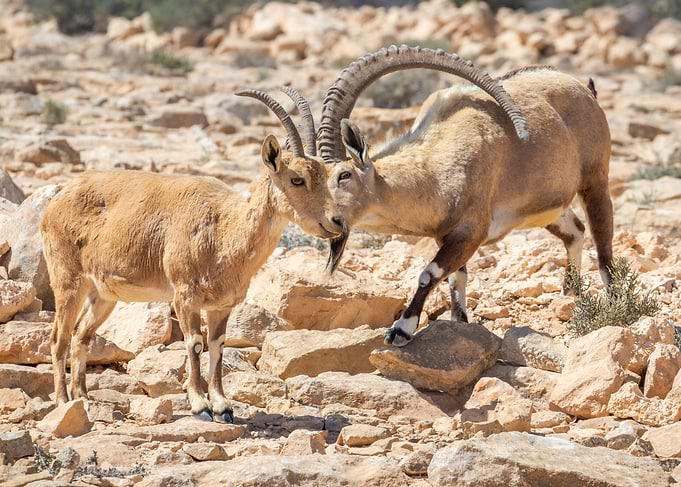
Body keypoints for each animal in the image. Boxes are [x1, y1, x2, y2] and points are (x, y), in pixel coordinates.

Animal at [40, 90, 344, 421]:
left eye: (326, 175)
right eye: (297, 179)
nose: (336, 222)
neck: (224, 232)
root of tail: (57, 198)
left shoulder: (221, 306)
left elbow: (218, 346)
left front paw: (223, 405)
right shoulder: (184, 296)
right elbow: (195, 344)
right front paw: (200, 405)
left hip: (103, 295)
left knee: (81, 335)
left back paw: (83, 398)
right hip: (68, 281)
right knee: (58, 338)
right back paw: (62, 400)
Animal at [286, 46, 613, 347]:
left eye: (344, 175)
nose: (326, 221)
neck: (434, 171)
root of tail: (585, 90)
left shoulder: (471, 232)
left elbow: (429, 273)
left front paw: (401, 329)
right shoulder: (446, 237)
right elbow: (457, 278)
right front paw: (459, 324)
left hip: (595, 181)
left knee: (602, 242)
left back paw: (613, 300)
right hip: (551, 209)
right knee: (575, 231)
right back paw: (570, 293)